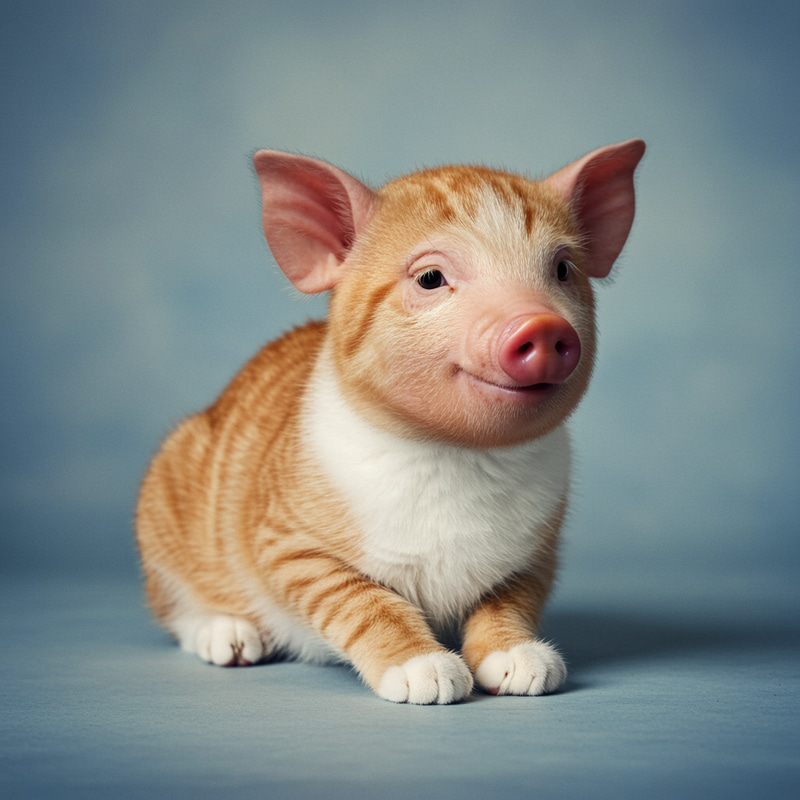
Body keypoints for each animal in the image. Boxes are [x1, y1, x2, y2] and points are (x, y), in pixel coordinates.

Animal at [136, 139, 645, 704]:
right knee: (174, 608)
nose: (543, 325)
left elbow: (510, 598)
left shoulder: (538, 552)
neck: (457, 455)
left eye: (561, 270)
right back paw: (226, 635)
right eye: (430, 278)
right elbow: (362, 600)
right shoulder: (287, 543)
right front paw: (424, 670)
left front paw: (518, 659)